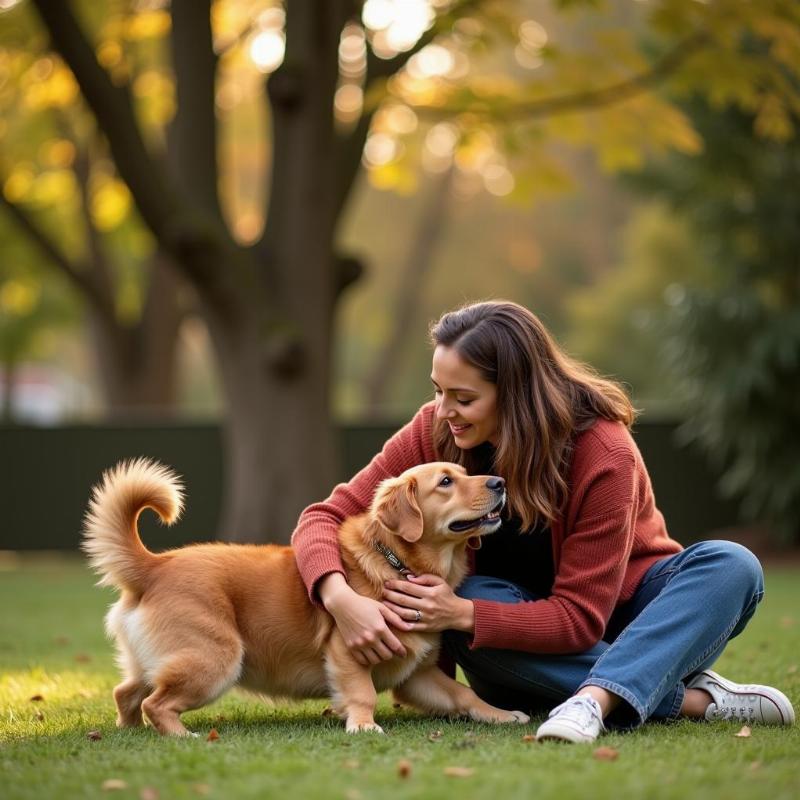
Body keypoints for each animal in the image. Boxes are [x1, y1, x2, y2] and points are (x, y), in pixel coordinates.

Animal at [84, 460, 528, 736]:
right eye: (446, 482)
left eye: (465, 473)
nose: (499, 483)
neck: (398, 562)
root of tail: (155, 565)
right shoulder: (350, 651)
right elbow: (362, 693)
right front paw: (363, 724)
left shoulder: (416, 675)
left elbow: (464, 694)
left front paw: (501, 714)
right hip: (217, 659)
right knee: (156, 703)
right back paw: (181, 736)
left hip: (163, 662)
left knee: (127, 693)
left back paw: (132, 734)